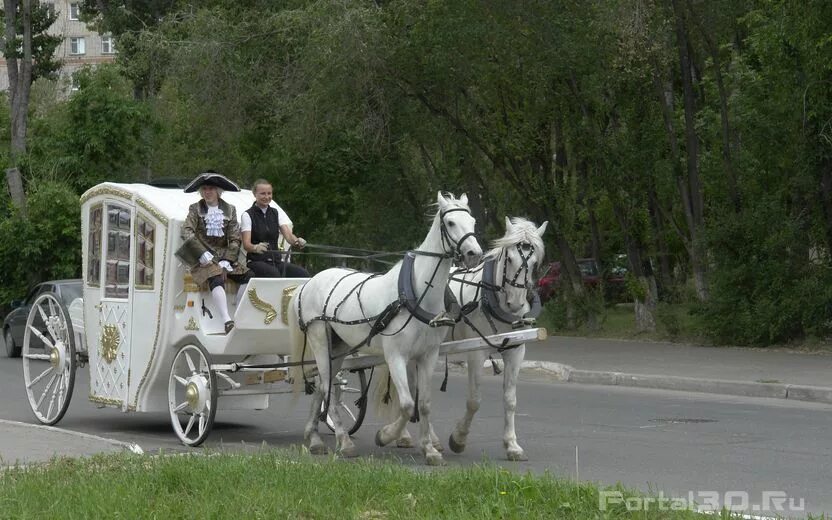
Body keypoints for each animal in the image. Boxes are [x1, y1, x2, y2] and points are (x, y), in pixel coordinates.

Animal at [288, 193, 480, 466]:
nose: (474, 253)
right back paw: (344, 442)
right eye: (451, 222)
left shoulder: (428, 355)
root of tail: (308, 283)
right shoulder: (395, 356)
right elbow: (408, 404)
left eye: (472, 221)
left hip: (339, 348)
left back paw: (314, 438)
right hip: (319, 340)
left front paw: (429, 450)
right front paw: (386, 435)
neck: (416, 294)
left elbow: (424, 404)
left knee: (323, 386)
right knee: (327, 388)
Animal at [394, 215, 544, 460]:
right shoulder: (477, 352)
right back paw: (407, 436)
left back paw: (425, 439)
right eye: (509, 258)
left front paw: (512, 445)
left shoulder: (516, 351)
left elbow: (510, 400)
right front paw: (458, 439)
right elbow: (474, 401)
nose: (515, 304)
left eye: (534, 263)